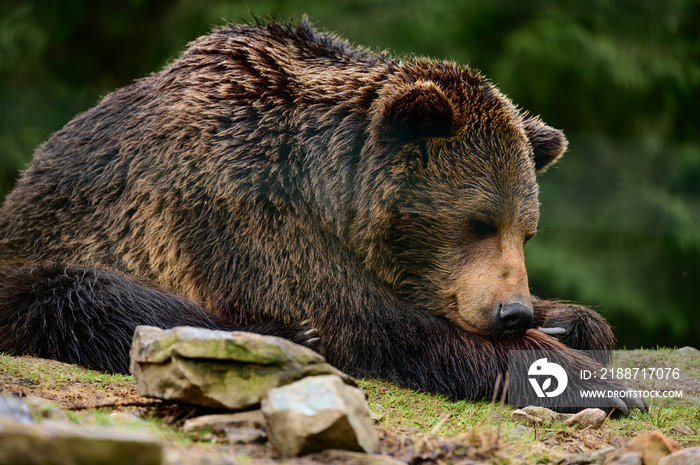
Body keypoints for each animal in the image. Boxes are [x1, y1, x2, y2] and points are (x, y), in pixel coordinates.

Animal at [0, 18, 644, 412]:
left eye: (524, 231)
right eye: (477, 221)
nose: (513, 313)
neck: (324, 182)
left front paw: (572, 323)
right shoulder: (237, 207)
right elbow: (369, 323)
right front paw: (600, 385)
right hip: (47, 251)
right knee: (85, 297)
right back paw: (282, 337)